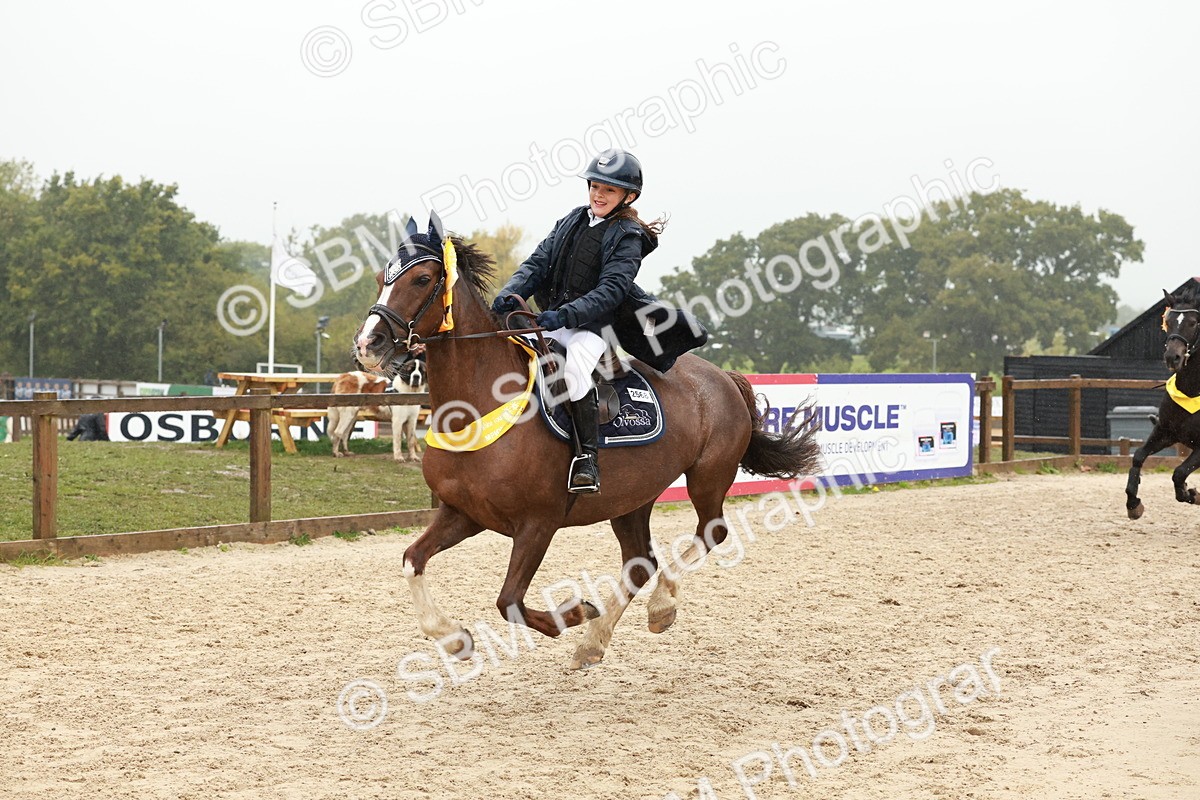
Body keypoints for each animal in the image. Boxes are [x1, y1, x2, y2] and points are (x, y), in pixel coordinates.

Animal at [353, 221, 821, 669]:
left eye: (423, 278)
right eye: (380, 279)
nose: (367, 344)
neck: (479, 405)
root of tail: (724, 376)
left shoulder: (538, 524)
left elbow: (510, 602)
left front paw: (577, 612)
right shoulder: (463, 514)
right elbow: (413, 560)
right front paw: (453, 638)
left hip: (708, 478)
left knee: (711, 532)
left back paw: (659, 607)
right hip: (633, 499)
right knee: (640, 562)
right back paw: (594, 644)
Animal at [1125, 287, 1200, 519]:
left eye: (1193, 322)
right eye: (1168, 321)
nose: (1172, 357)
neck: (1192, 390)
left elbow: (1179, 473)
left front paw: (1191, 494)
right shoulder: (1166, 432)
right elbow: (1138, 456)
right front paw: (1133, 504)